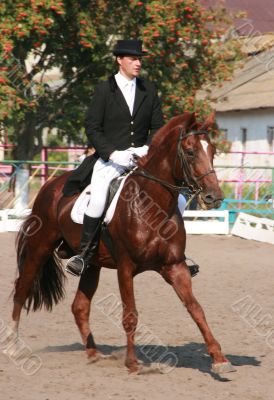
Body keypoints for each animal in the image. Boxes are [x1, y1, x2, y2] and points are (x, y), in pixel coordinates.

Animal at [10, 111, 233, 376]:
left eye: (213, 151)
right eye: (189, 152)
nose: (214, 197)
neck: (152, 204)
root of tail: (50, 186)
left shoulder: (175, 266)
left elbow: (196, 309)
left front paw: (219, 359)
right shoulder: (126, 268)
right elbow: (130, 314)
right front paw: (132, 363)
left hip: (92, 263)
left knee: (80, 306)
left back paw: (93, 353)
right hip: (39, 247)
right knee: (22, 289)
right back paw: (12, 345)